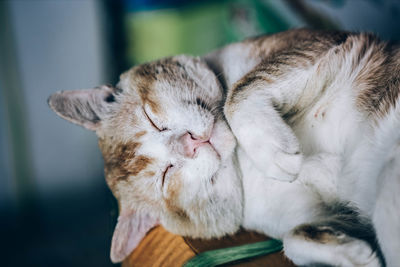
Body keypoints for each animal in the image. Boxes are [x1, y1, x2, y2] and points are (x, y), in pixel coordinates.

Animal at [48, 28, 398, 266]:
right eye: (166, 176)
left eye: (151, 118)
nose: (190, 143)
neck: (241, 160)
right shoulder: (325, 215)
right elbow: (294, 239)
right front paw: (354, 253)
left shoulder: (314, 44)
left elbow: (238, 94)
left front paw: (270, 147)